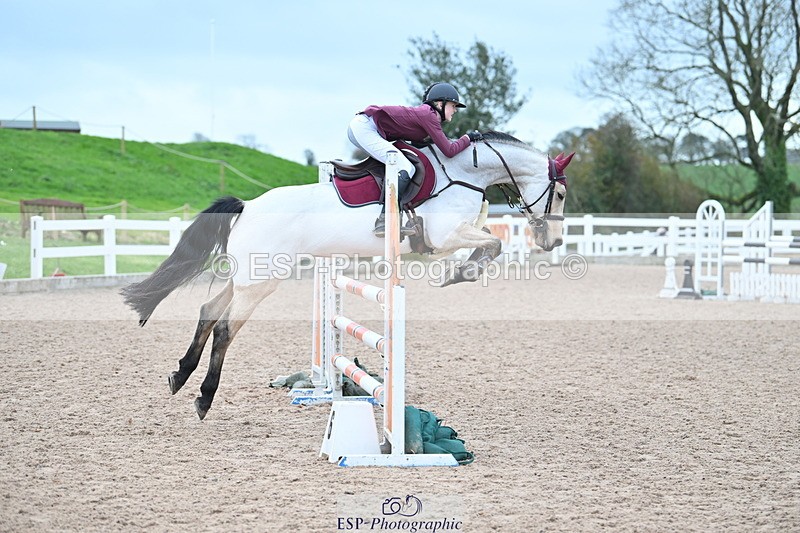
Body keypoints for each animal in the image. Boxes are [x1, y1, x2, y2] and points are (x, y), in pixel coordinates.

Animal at [121, 132, 574, 419]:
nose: (552, 241)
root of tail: (248, 206)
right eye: (561, 193)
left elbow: (491, 245)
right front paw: (460, 272)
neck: (463, 173)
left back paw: (180, 376)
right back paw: (203, 398)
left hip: (247, 278)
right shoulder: (445, 236)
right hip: (261, 282)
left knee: (208, 310)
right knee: (225, 328)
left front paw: (462, 271)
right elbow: (493, 245)